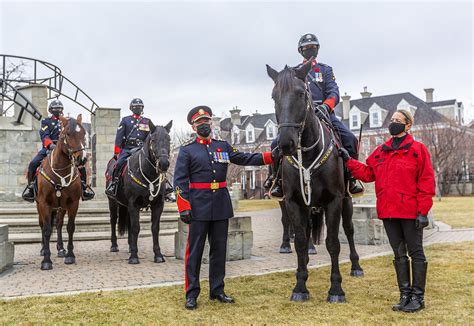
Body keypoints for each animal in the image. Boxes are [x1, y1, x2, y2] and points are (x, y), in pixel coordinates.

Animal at [35, 114, 87, 270]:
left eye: (84, 133)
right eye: (68, 134)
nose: (82, 159)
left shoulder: (72, 203)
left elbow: (70, 227)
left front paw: (70, 255)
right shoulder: (44, 203)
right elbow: (46, 229)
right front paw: (46, 260)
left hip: (61, 207)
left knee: (58, 224)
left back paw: (61, 249)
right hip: (40, 205)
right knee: (42, 225)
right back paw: (43, 249)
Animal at [105, 121, 172, 264]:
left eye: (168, 139)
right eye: (153, 140)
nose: (164, 164)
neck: (148, 175)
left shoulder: (158, 204)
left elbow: (154, 228)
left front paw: (158, 254)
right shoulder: (133, 204)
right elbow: (136, 228)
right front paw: (134, 257)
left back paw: (131, 246)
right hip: (112, 201)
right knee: (113, 220)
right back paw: (114, 245)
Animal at [266, 61, 362, 304]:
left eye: (301, 93)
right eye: (274, 96)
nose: (286, 144)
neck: (308, 154)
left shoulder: (334, 201)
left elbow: (333, 243)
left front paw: (336, 289)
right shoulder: (293, 201)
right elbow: (300, 241)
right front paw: (300, 285)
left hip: (346, 201)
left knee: (349, 231)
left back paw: (356, 266)